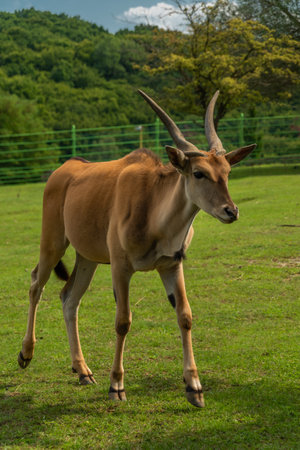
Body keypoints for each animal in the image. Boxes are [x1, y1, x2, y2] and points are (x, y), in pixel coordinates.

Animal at [17, 90, 254, 408]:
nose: (231, 211)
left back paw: (82, 370)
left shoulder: (171, 265)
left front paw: (194, 386)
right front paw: (117, 386)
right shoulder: (121, 267)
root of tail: (65, 169)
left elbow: (185, 316)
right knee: (36, 285)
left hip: (88, 258)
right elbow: (123, 321)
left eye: (227, 172)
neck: (154, 210)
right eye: (199, 173)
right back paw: (26, 353)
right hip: (53, 242)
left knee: (69, 298)